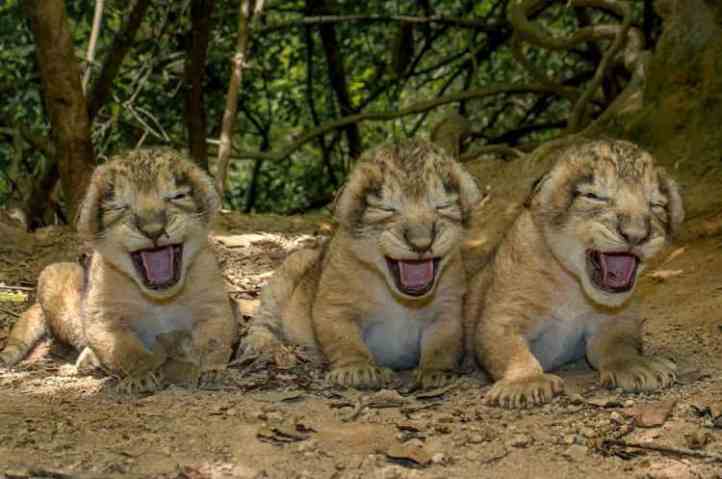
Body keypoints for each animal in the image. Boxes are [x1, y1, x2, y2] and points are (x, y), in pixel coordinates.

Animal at [0, 148, 236, 393]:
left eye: (177, 197)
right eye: (120, 207)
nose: (153, 230)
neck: (160, 299)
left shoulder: (213, 305)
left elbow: (214, 341)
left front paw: (212, 372)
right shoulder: (104, 318)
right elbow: (125, 350)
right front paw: (142, 376)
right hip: (54, 276)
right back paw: (89, 360)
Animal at [244, 140, 481, 389]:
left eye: (442, 206)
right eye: (387, 209)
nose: (421, 243)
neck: (403, 301)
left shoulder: (447, 310)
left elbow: (443, 344)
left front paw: (437, 373)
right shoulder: (334, 306)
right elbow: (344, 339)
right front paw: (356, 370)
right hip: (289, 270)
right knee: (263, 319)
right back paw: (262, 344)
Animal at [465, 139, 684, 408]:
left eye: (656, 205)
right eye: (594, 196)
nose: (636, 234)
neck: (574, 287)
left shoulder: (616, 319)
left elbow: (620, 344)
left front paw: (636, 366)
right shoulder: (503, 314)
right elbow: (509, 348)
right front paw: (525, 382)